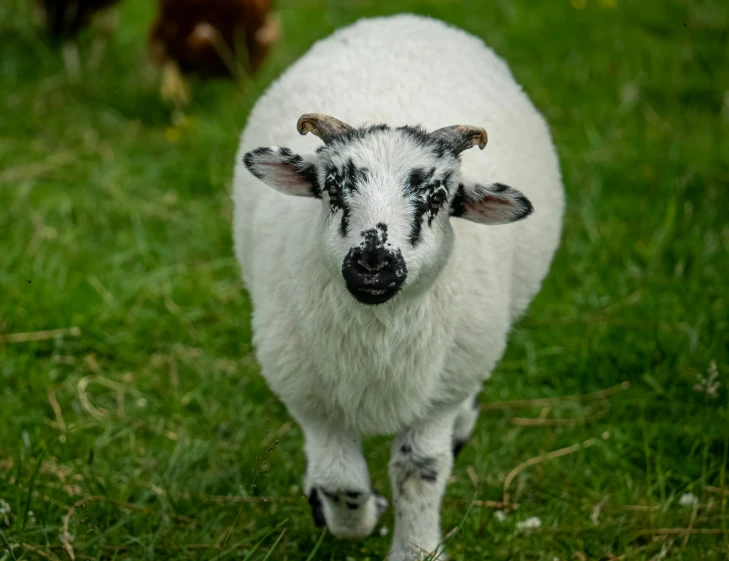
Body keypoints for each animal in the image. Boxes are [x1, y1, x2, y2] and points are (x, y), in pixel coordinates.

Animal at [233, 13, 564, 560]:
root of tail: (408, 18)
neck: (378, 330)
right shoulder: (311, 396)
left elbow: (417, 472)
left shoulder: (437, 397)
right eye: (331, 187)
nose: (373, 262)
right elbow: (339, 480)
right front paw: (350, 515)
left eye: (437, 196)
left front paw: (416, 549)